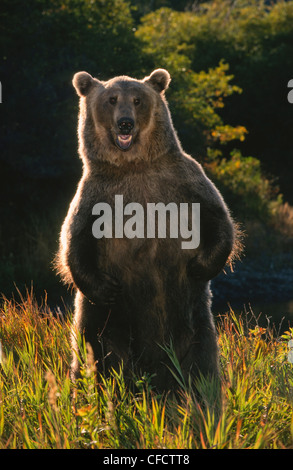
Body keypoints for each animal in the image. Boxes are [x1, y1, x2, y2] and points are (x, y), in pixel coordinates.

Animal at [56, 68, 237, 394]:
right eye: (112, 99)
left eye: (137, 99)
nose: (125, 122)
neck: (134, 165)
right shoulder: (95, 195)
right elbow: (73, 242)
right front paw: (106, 287)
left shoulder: (182, 179)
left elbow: (218, 217)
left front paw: (199, 266)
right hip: (104, 322)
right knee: (97, 357)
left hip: (194, 323)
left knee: (201, 365)